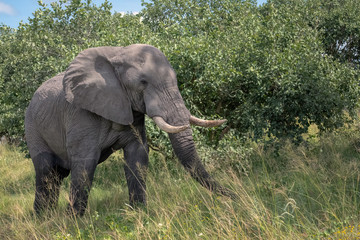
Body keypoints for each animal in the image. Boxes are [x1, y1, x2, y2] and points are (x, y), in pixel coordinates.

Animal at [24, 43, 233, 216]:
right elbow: (85, 162)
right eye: (143, 82)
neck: (117, 54)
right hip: (33, 127)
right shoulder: (81, 113)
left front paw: (139, 213)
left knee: (56, 175)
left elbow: (137, 156)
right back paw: (42, 218)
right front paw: (74, 222)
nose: (234, 197)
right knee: (45, 170)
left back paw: (49, 216)